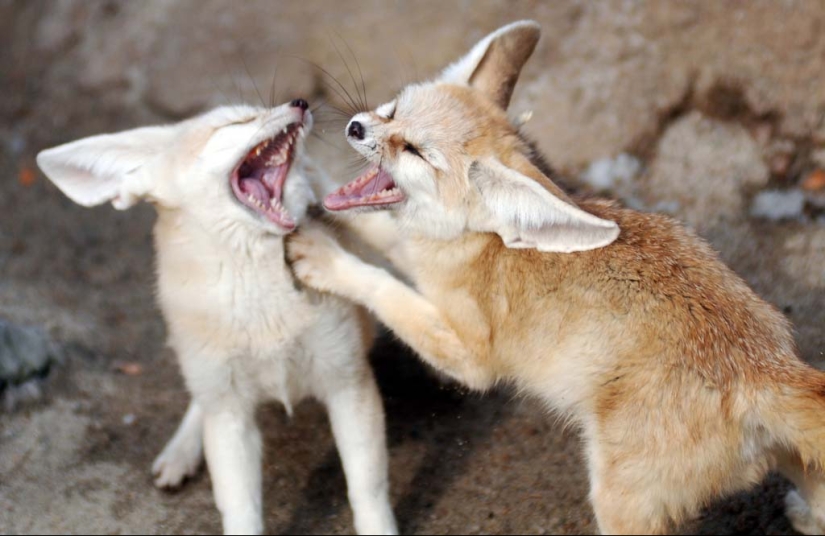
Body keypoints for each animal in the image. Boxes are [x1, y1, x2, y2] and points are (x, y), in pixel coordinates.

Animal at [36, 100, 398, 535]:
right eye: (237, 120)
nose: (299, 102)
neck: (264, 304)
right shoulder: (229, 414)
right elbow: (240, 510)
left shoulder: (347, 380)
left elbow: (367, 490)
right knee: (199, 396)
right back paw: (182, 449)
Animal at [287, 21, 825, 535]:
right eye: (394, 110)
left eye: (416, 152)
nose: (356, 126)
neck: (481, 244)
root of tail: (765, 369)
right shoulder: (416, 249)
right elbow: (378, 231)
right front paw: (307, 182)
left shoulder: (469, 357)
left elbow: (387, 290)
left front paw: (323, 257)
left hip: (617, 504)